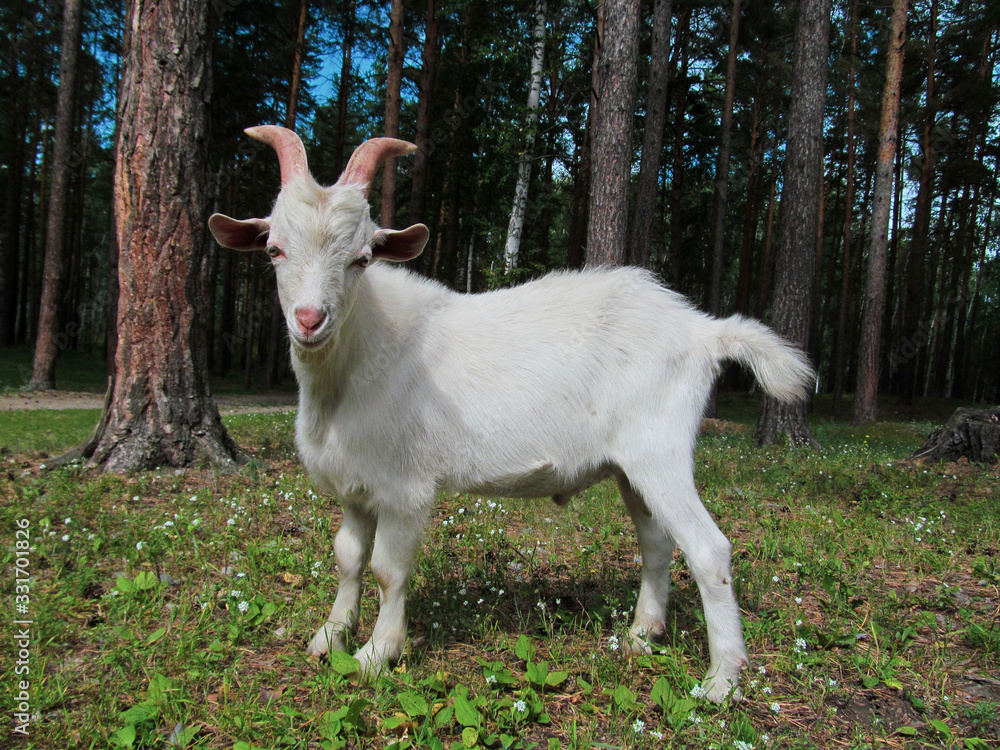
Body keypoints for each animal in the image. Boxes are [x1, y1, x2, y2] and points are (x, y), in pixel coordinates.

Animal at [209, 126, 814, 702]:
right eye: (274, 250)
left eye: (361, 258)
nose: (310, 319)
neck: (361, 357)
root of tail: (703, 331)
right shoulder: (356, 485)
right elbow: (347, 558)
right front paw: (329, 637)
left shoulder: (404, 487)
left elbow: (386, 568)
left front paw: (377, 655)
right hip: (632, 468)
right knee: (657, 542)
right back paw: (643, 636)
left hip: (659, 451)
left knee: (709, 549)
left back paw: (722, 681)